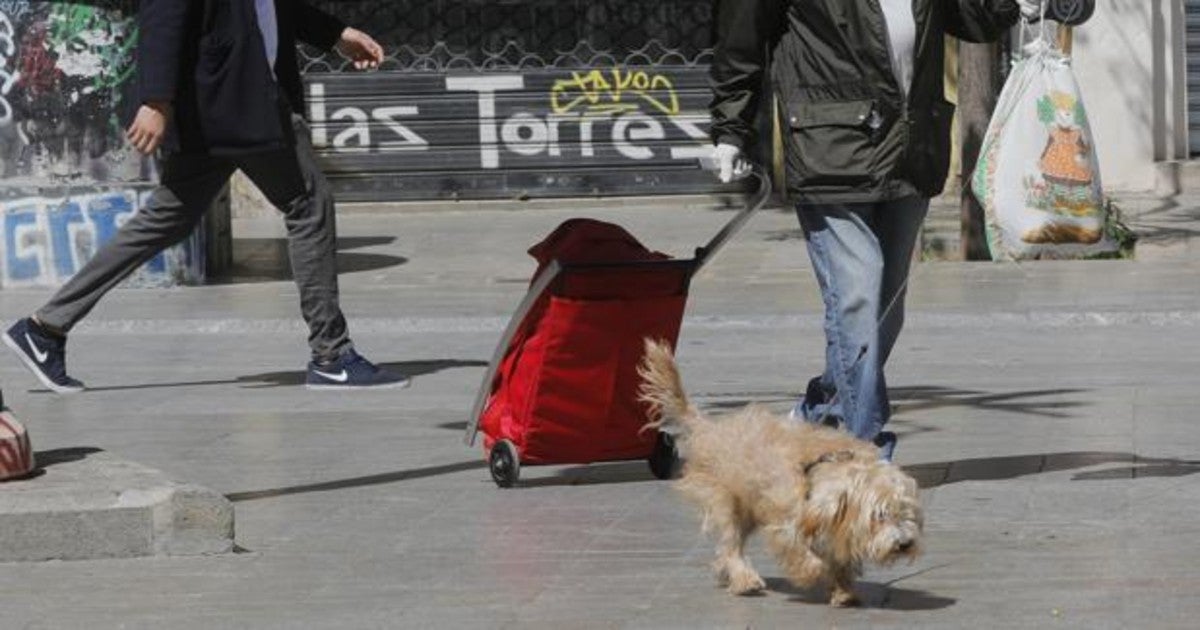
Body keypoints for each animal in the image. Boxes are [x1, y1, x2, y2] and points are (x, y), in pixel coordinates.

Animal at [638, 340, 926, 607]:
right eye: (879, 515)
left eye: (907, 514)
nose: (904, 544)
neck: (827, 469)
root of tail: (709, 428)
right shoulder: (787, 523)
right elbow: (802, 552)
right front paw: (815, 571)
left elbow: (839, 560)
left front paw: (844, 590)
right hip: (727, 502)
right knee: (731, 543)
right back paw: (744, 579)